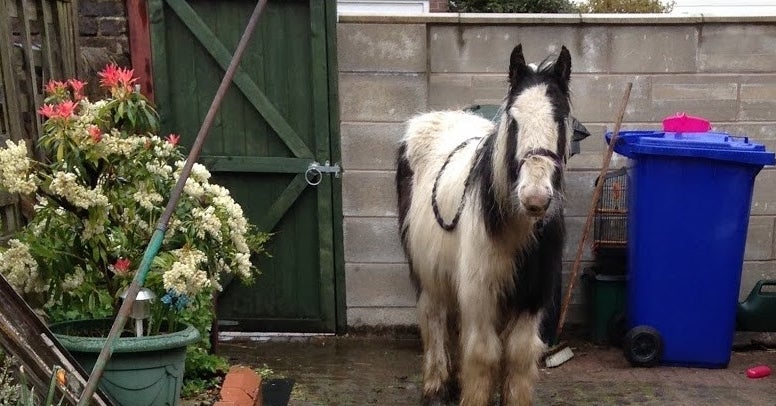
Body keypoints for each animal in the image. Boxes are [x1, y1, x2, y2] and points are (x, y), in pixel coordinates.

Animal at [398, 44, 572, 406]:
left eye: (560, 118)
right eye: (513, 119)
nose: (535, 198)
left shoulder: (530, 299)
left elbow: (518, 354)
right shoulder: (481, 294)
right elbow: (483, 353)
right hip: (428, 273)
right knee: (434, 319)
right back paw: (436, 387)